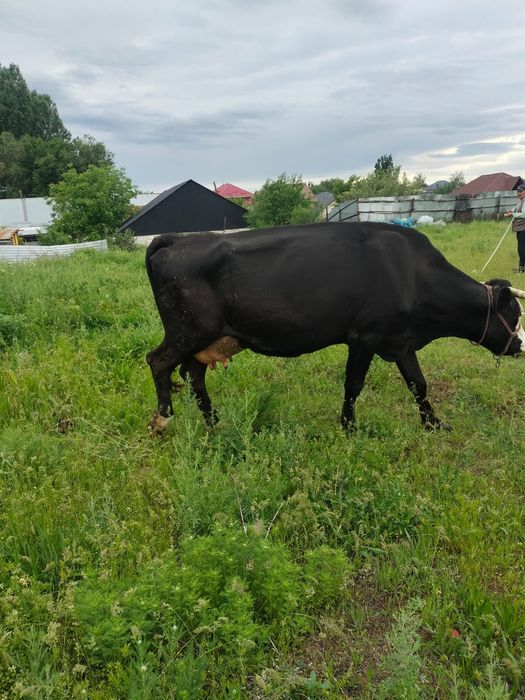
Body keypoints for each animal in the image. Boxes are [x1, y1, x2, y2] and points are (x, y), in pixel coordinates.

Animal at [145, 222, 525, 436]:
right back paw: (163, 421)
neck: (411, 273)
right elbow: (353, 385)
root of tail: (178, 239)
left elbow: (418, 384)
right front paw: (349, 427)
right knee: (157, 361)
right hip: (189, 331)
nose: (519, 346)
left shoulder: (399, 340)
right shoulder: (365, 336)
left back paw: (214, 423)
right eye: (515, 314)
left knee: (193, 376)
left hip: (209, 339)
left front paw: (433, 424)